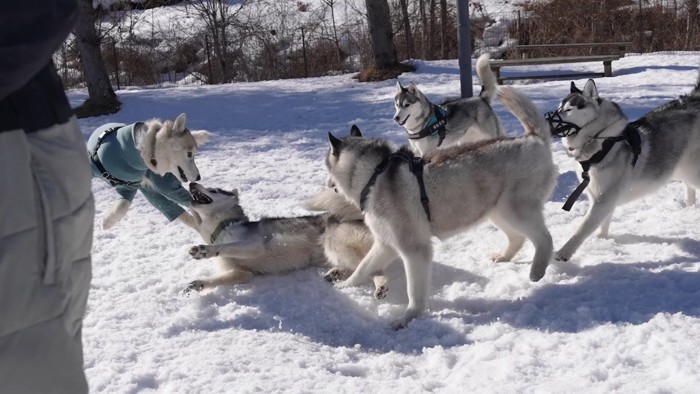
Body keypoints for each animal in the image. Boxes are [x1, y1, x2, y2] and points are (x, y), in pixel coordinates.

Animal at [183, 183, 374, 290]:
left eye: (214, 190)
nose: (192, 182)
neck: (223, 227)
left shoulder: (253, 246)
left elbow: (226, 247)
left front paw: (205, 250)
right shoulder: (242, 273)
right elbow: (225, 277)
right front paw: (199, 284)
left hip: (336, 244)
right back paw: (336, 273)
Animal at [324, 86, 556, 330]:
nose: (327, 184)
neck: (375, 174)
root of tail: (534, 139)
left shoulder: (414, 248)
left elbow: (414, 291)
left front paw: (408, 317)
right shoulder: (385, 243)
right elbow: (363, 267)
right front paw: (346, 285)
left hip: (516, 210)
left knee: (544, 238)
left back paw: (537, 269)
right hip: (496, 210)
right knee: (518, 238)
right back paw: (503, 256)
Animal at [548, 73, 700, 262]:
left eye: (569, 110)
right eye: (559, 108)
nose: (546, 122)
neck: (600, 141)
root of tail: (693, 99)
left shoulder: (604, 198)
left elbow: (582, 228)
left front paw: (563, 253)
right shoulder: (598, 195)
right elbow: (603, 221)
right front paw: (602, 239)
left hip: (692, 169)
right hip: (682, 168)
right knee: (690, 187)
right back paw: (689, 206)